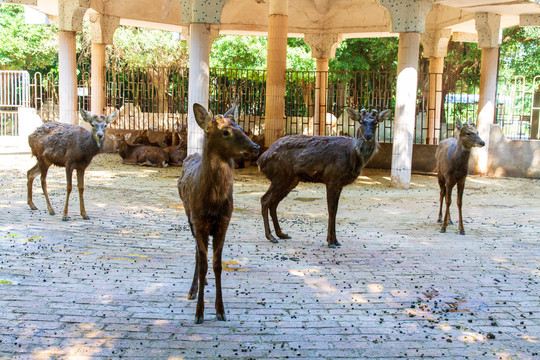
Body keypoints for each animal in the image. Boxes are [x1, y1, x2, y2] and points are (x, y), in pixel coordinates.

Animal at [177, 102, 260, 324]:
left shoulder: (224, 222)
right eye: (225, 132)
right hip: (189, 217)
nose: (255, 147)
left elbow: (217, 264)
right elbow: (204, 263)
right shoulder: (199, 222)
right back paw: (193, 289)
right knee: (197, 254)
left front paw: (221, 310)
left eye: (240, 126)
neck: (213, 202)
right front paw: (199, 314)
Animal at [258, 107, 390, 248]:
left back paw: (281, 234)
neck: (351, 154)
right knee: (265, 200)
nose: (368, 136)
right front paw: (330, 242)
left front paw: (336, 241)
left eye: (375, 122)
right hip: (281, 176)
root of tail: (260, 161)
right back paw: (271, 236)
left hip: (290, 180)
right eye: (361, 121)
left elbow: (335, 210)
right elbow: (331, 209)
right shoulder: (332, 178)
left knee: (273, 203)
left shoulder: (339, 184)